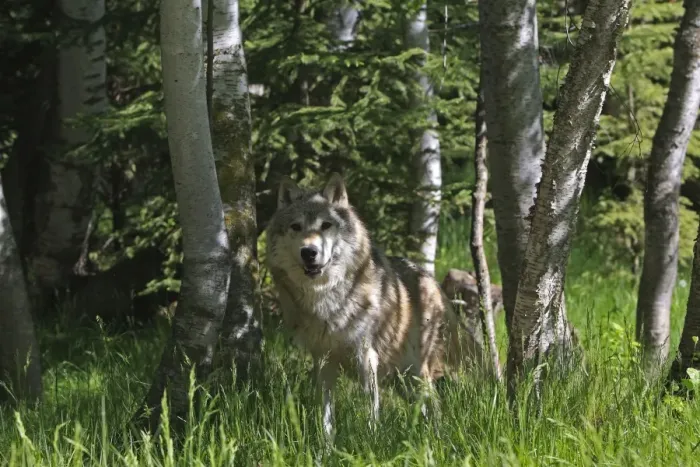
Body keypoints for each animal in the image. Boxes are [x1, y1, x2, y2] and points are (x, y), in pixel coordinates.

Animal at [265, 173, 482, 439]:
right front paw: (326, 445)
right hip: (403, 382)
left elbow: (371, 408)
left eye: (325, 225)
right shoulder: (323, 361)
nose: (309, 252)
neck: (326, 300)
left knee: (435, 405)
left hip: (417, 372)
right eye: (296, 227)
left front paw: (372, 439)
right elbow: (326, 414)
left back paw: (437, 438)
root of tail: (430, 279)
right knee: (423, 408)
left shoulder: (366, 357)